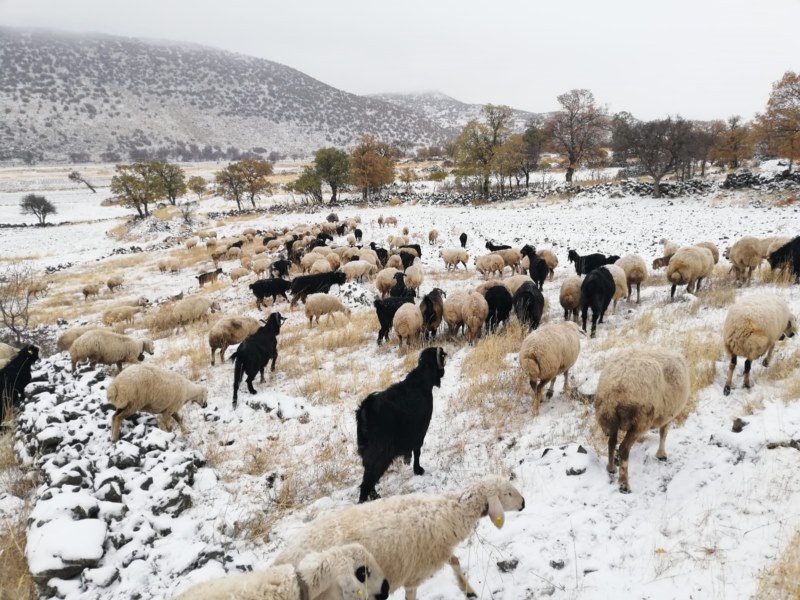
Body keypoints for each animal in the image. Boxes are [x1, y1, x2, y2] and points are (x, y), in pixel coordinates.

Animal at [276, 474, 524, 600]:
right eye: (507, 493)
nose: (523, 503)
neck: (447, 513)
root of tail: (281, 562)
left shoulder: (436, 553)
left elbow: (455, 561)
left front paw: (468, 589)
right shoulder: (415, 574)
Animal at [354, 346, 446, 502]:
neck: (420, 381)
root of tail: (365, 410)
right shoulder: (420, 431)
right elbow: (417, 451)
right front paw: (418, 469)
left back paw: (375, 495)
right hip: (379, 454)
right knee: (366, 483)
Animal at [596, 346, 692, 492]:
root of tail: (613, 391)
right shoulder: (667, 416)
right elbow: (663, 433)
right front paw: (661, 454)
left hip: (613, 421)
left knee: (611, 443)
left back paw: (611, 468)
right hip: (639, 421)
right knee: (623, 448)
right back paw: (624, 483)